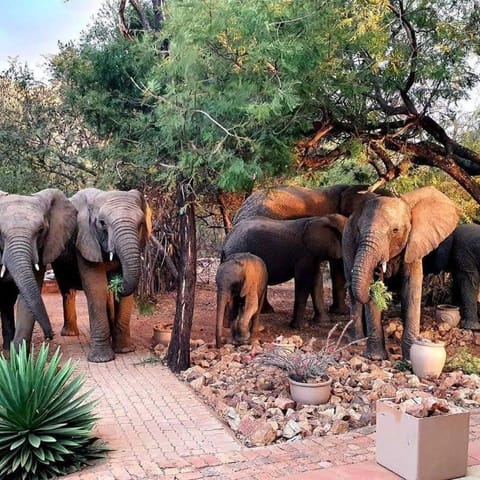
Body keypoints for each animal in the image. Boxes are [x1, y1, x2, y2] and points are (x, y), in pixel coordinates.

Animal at [52, 189, 152, 362]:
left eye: (140, 224)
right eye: (102, 223)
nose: (117, 282)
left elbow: (124, 296)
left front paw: (125, 350)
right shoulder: (85, 240)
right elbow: (96, 289)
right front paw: (101, 359)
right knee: (67, 291)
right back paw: (70, 334)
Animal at [342, 188, 458, 360]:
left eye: (395, 230)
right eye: (358, 230)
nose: (378, 268)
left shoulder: (414, 245)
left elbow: (411, 290)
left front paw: (409, 358)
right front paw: (375, 358)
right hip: (346, 244)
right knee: (353, 295)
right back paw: (357, 341)